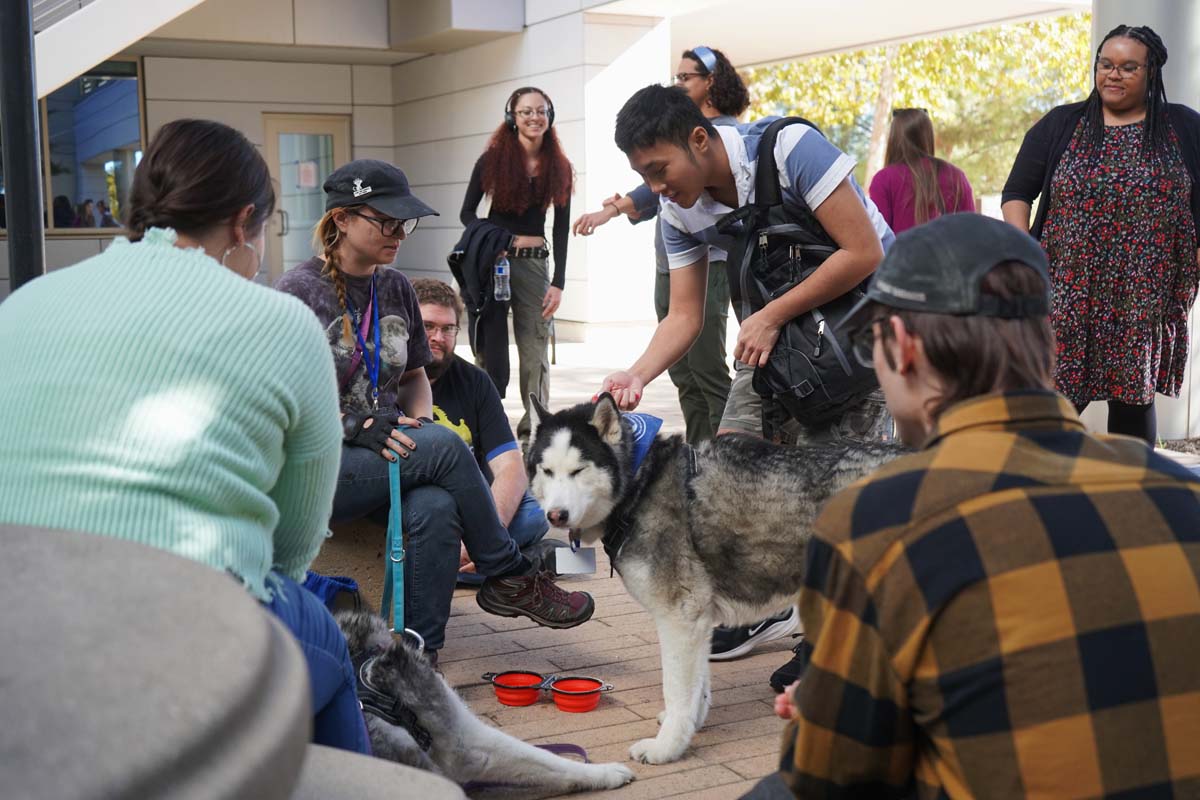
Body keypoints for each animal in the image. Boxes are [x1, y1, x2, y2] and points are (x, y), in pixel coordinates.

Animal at [525, 393, 902, 762]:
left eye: (578, 470)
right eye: (547, 470)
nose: (556, 515)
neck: (641, 480)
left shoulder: (679, 616)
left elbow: (676, 688)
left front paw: (667, 747)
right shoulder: (698, 619)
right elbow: (696, 687)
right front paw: (690, 724)